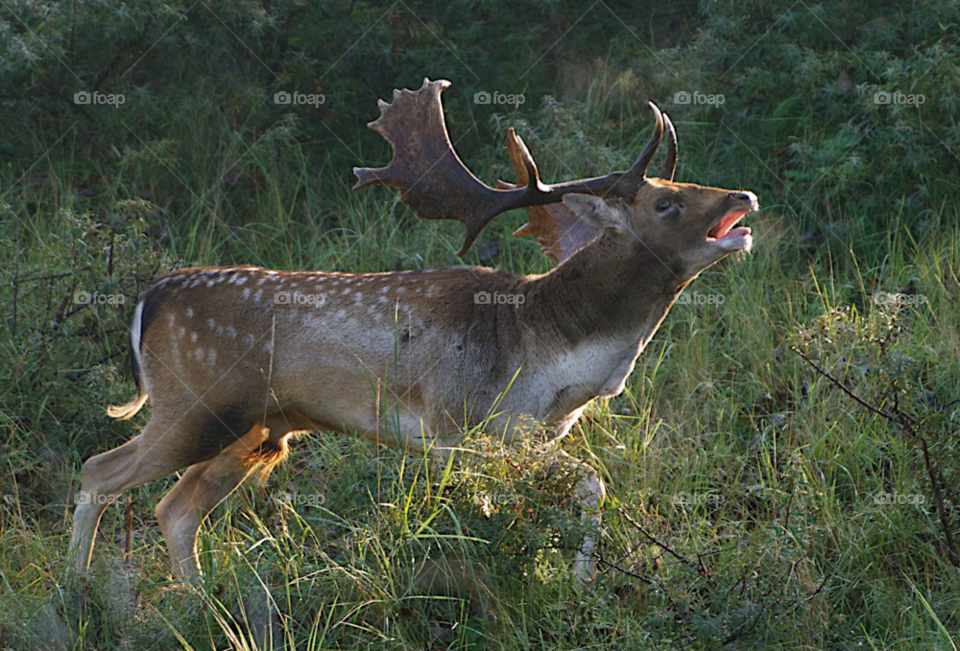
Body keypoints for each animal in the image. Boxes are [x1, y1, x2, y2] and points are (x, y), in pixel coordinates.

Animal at [69, 79, 756, 584]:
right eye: (664, 203)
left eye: (682, 182)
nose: (743, 198)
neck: (551, 351)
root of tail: (151, 296)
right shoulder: (458, 426)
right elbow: (554, 492)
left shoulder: (528, 434)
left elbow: (582, 486)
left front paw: (574, 580)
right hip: (194, 404)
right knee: (99, 470)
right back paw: (79, 594)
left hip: (253, 429)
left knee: (176, 509)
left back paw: (198, 603)